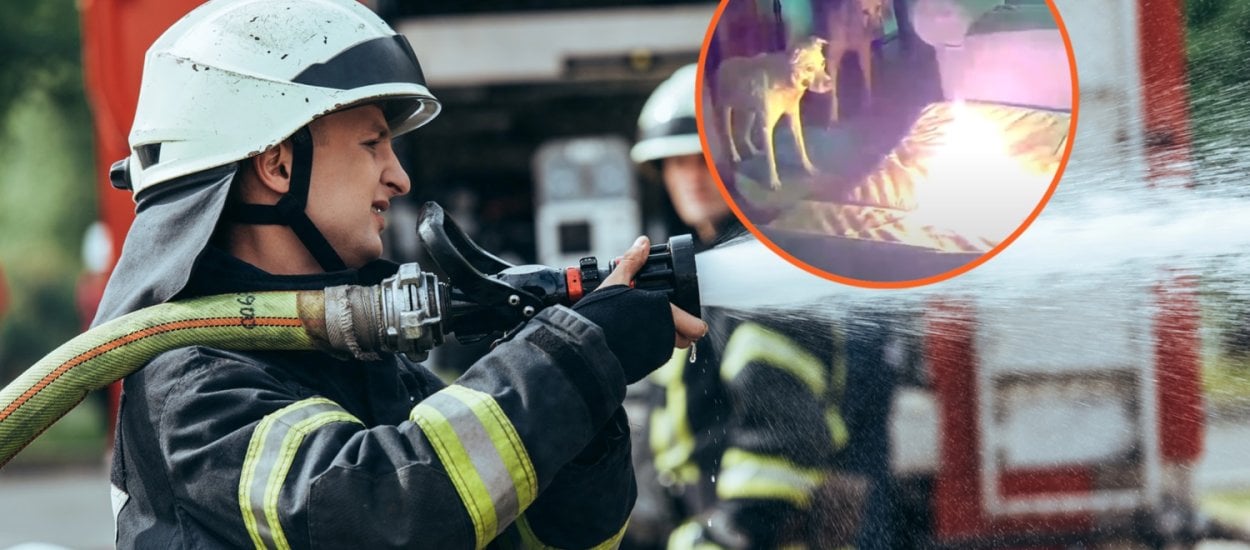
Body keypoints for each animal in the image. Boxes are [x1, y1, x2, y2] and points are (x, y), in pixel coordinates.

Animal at [720, 35, 835, 191]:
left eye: (823, 63)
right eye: (809, 68)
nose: (830, 83)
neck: (785, 80)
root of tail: (724, 63)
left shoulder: (794, 121)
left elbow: (801, 147)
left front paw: (809, 168)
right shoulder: (766, 129)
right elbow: (771, 159)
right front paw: (774, 181)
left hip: (751, 113)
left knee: (745, 134)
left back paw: (754, 151)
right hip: (727, 111)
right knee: (730, 137)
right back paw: (736, 156)